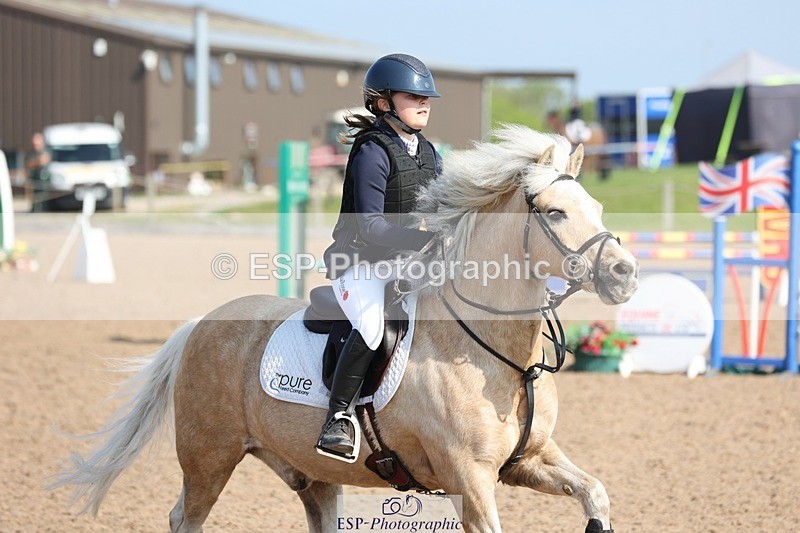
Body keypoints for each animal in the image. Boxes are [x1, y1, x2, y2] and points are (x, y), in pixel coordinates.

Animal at [51, 125, 639, 532]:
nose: (625, 274)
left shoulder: (528, 461)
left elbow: (596, 494)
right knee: (185, 517)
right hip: (208, 458)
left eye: (597, 205)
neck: (495, 352)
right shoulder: (468, 478)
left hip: (311, 474)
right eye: (556, 213)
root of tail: (199, 324)